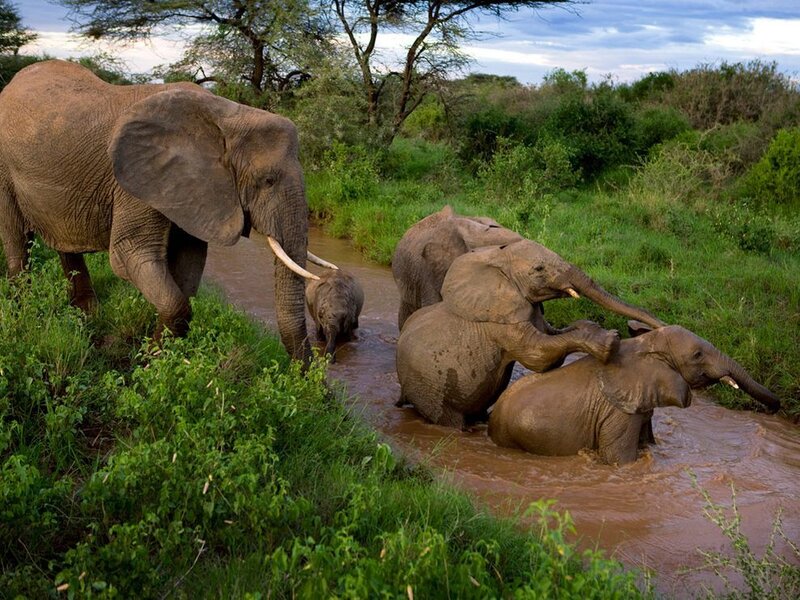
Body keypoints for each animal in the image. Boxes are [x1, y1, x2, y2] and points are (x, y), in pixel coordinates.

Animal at [0, 60, 336, 361]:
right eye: (267, 181)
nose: (311, 378)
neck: (228, 116)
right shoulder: (137, 182)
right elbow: (130, 255)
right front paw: (149, 362)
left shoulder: (192, 190)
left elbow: (188, 265)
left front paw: (161, 359)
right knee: (17, 240)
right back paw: (23, 312)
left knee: (64, 244)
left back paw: (87, 317)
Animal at [395, 239, 666, 428]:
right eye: (538, 269)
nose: (661, 326)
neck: (497, 258)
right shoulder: (501, 321)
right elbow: (538, 356)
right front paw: (609, 341)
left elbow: (554, 336)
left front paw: (592, 327)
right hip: (429, 389)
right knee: (449, 420)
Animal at [488, 324, 781, 465]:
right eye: (697, 355)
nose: (775, 408)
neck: (646, 344)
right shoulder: (618, 411)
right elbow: (620, 460)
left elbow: (648, 444)